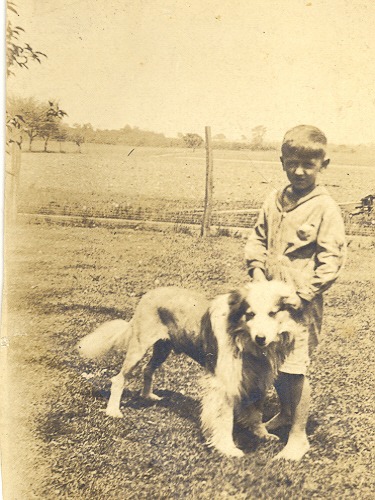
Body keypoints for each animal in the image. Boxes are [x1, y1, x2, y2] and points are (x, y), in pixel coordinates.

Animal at [78, 282, 300, 458]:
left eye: (273, 313)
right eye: (250, 314)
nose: (261, 338)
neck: (245, 340)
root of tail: (150, 293)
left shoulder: (258, 378)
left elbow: (256, 412)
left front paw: (262, 434)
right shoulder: (223, 384)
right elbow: (224, 420)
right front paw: (227, 448)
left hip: (163, 349)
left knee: (148, 370)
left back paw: (148, 396)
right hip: (139, 348)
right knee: (119, 379)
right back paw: (113, 411)